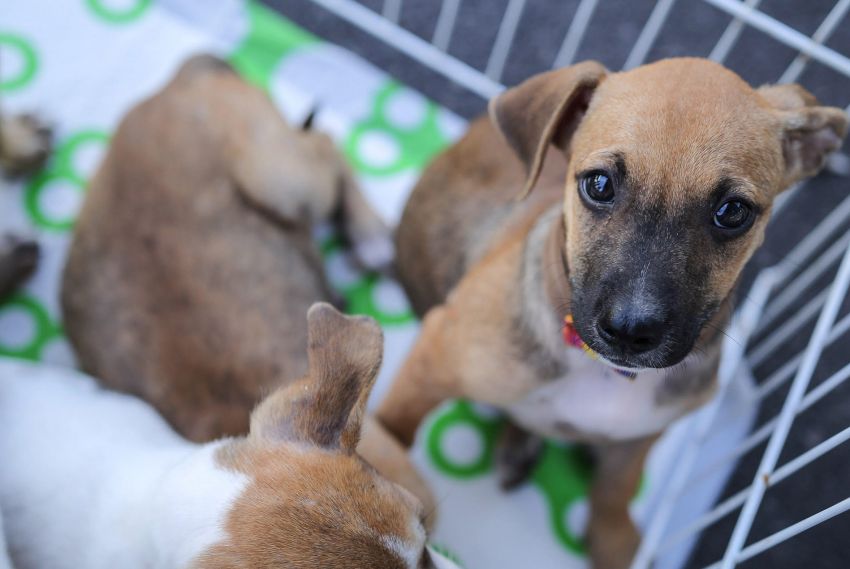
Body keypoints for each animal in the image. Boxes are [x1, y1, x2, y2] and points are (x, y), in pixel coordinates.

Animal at [380, 58, 848, 568]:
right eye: (599, 185)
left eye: (733, 212)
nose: (630, 331)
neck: (601, 370)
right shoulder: (433, 359)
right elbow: (390, 434)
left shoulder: (647, 433)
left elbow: (616, 491)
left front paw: (614, 540)